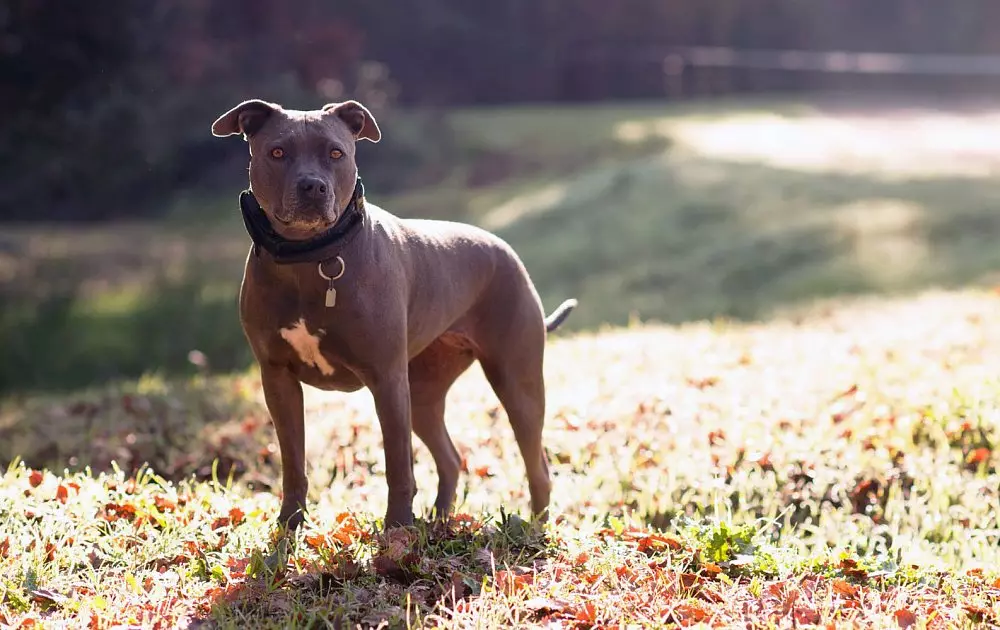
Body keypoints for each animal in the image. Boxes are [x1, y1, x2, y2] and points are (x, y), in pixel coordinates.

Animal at [211, 99, 580, 532]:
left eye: (336, 153)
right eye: (278, 152)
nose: (313, 186)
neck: (310, 256)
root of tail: (507, 250)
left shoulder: (386, 380)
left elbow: (398, 465)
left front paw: (398, 530)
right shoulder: (278, 379)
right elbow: (293, 460)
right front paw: (290, 523)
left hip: (515, 383)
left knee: (537, 464)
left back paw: (533, 528)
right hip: (423, 395)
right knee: (451, 458)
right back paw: (441, 521)